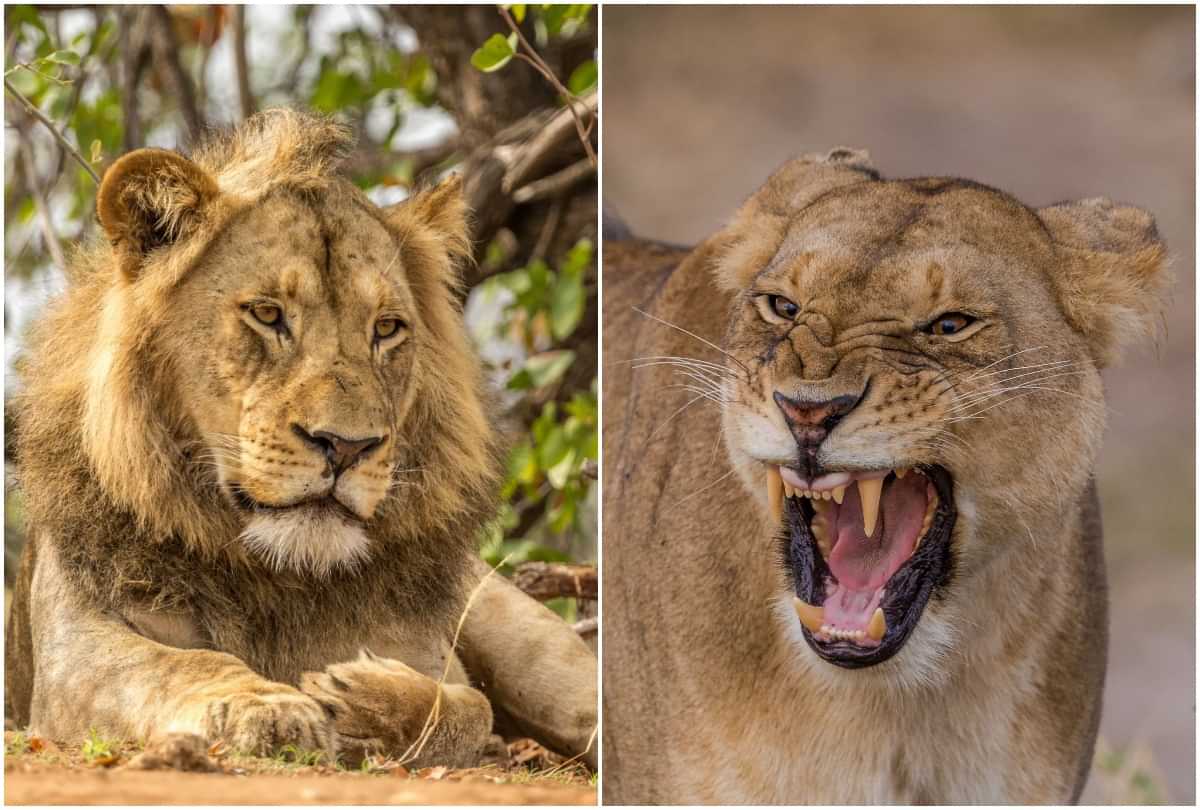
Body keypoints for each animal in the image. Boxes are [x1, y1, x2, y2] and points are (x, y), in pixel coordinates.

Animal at [5, 109, 596, 770]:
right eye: (267, 314)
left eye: (386, 328)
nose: (347, 446)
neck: (279, 576)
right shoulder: (73, 657)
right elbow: (180, 664)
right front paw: (266, 705)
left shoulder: (431, 654)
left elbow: (471, 708)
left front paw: (363, 703)